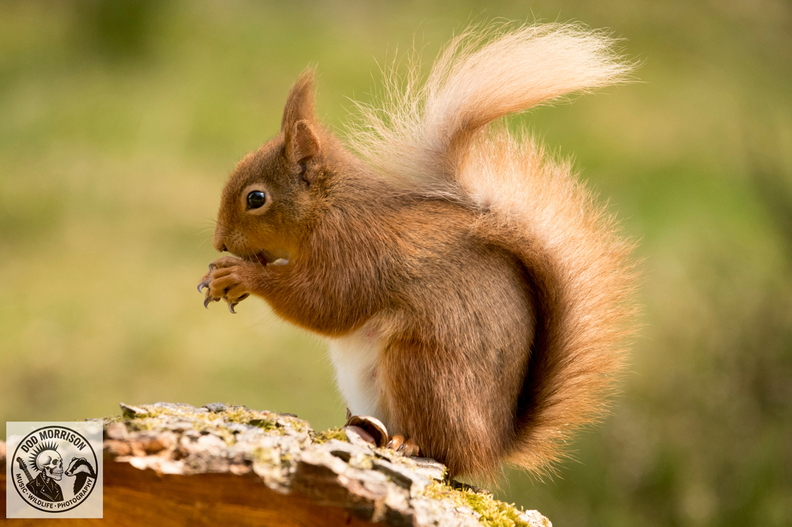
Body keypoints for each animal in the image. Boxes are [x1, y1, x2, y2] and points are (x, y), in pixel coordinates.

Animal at [198, 23, 636, 479]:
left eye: (256, 198)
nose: (220, 242)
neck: (330, 205)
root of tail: (494, 445)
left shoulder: (356, 250)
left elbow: (326, 304)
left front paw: (241, 275)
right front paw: (221, 276)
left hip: (422, 367)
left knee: (446, 449)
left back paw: (410, 444)